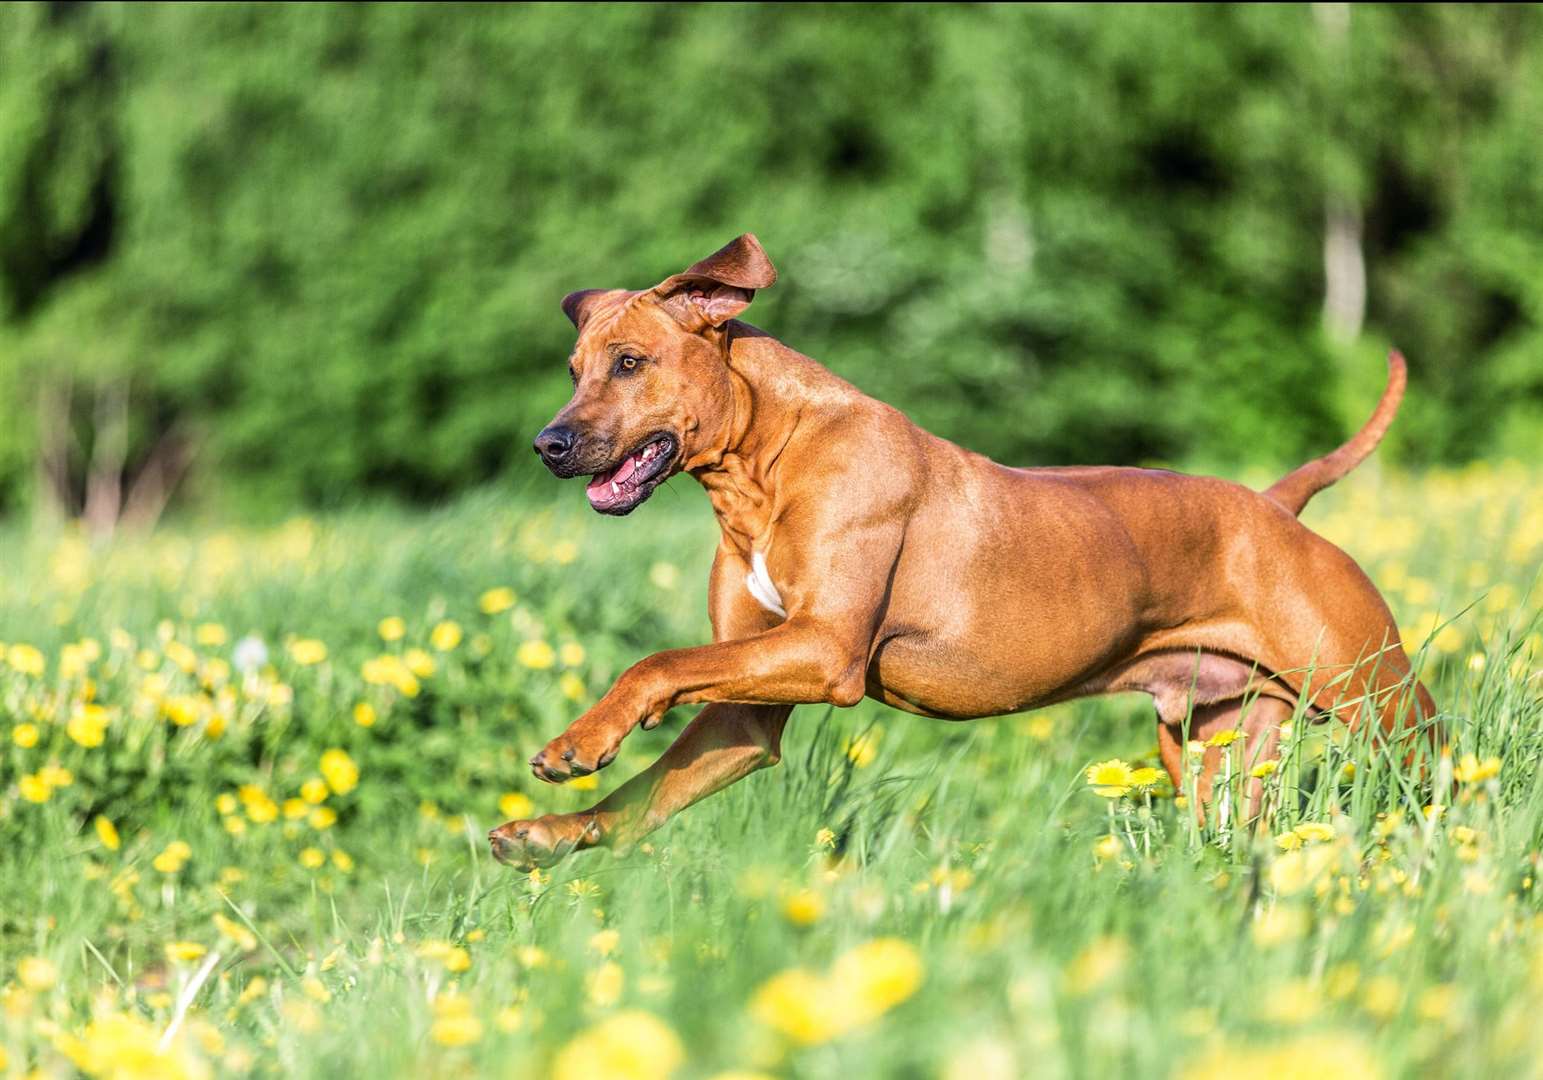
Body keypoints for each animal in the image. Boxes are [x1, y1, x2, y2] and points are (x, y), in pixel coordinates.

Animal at [490, 234, 1431, 870]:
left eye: (628, 362)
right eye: (573, 369)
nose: (547, 444)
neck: (765, 464)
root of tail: (1275, 507)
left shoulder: (824, 648)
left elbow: (655, 662)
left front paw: (581, 741)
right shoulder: (746, 710)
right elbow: (648, 788)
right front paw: (552, 831)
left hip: (1379, 700)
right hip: (1212, 745)